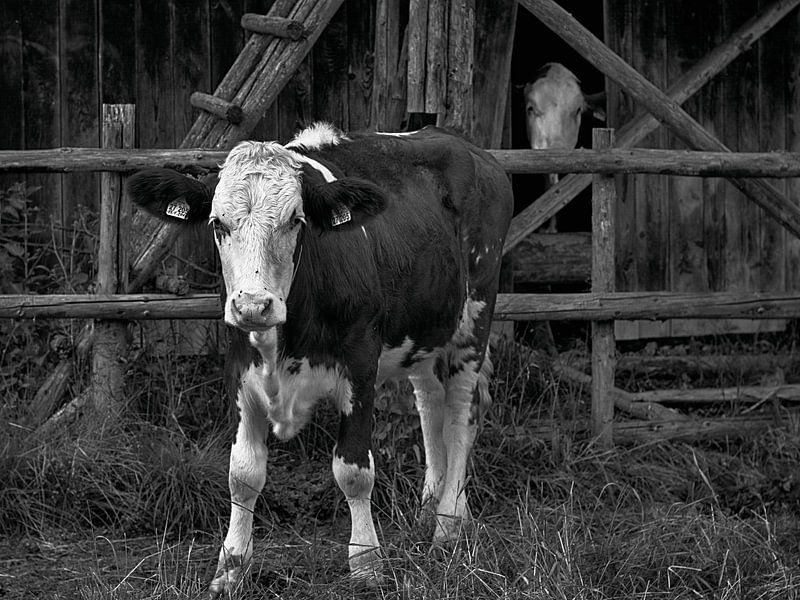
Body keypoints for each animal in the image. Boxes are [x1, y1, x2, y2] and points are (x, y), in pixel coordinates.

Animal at [126, 123, 512, 596]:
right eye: (218, 223)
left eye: (296, 220)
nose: (253, 305)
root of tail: (462, 142)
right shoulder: (239, 369)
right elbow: (242, 473)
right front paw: (230, 568)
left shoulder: (360, 365)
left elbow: (353, 469)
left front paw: (366, 563)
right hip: (425, 331)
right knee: (429, 406)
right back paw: (431, 509)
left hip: (476, 311)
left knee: (460, 414)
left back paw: (449, 525)